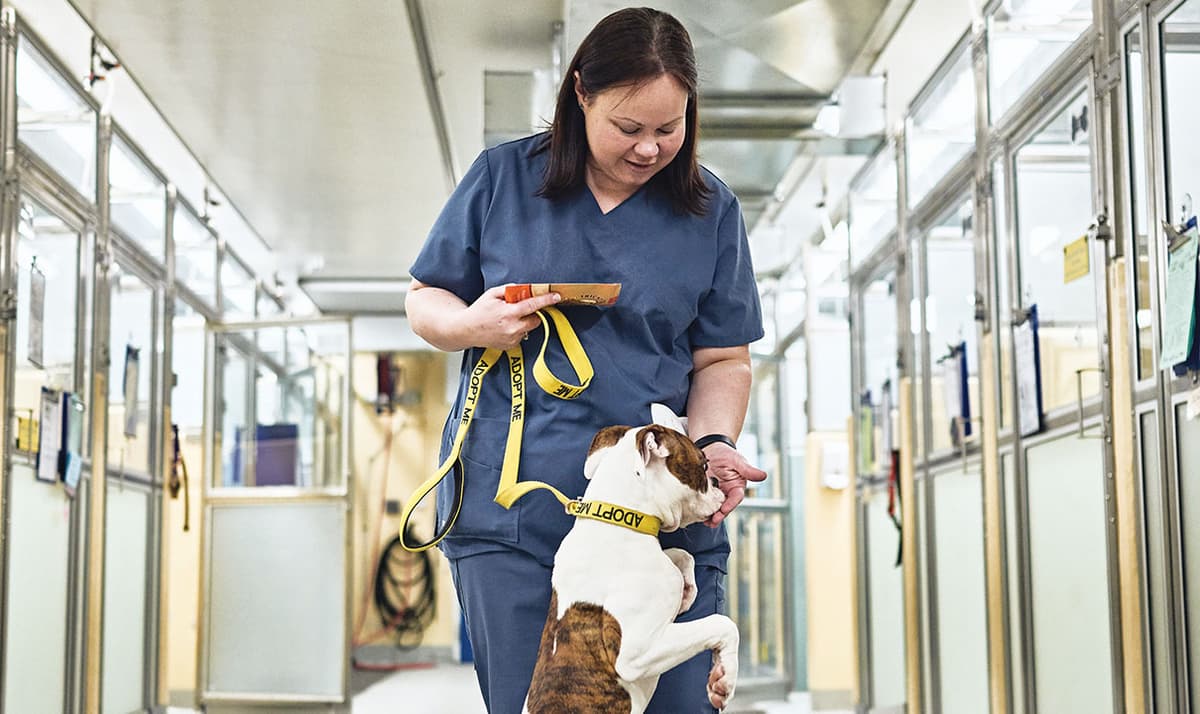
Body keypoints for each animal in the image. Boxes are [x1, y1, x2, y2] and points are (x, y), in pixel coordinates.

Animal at [520, 424, 734, 714]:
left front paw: (687, 591)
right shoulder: (636, 653)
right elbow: (721, 624)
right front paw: (725, 679)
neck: (619, 519)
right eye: (704, 464)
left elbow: (682, 554)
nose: (717, 482)